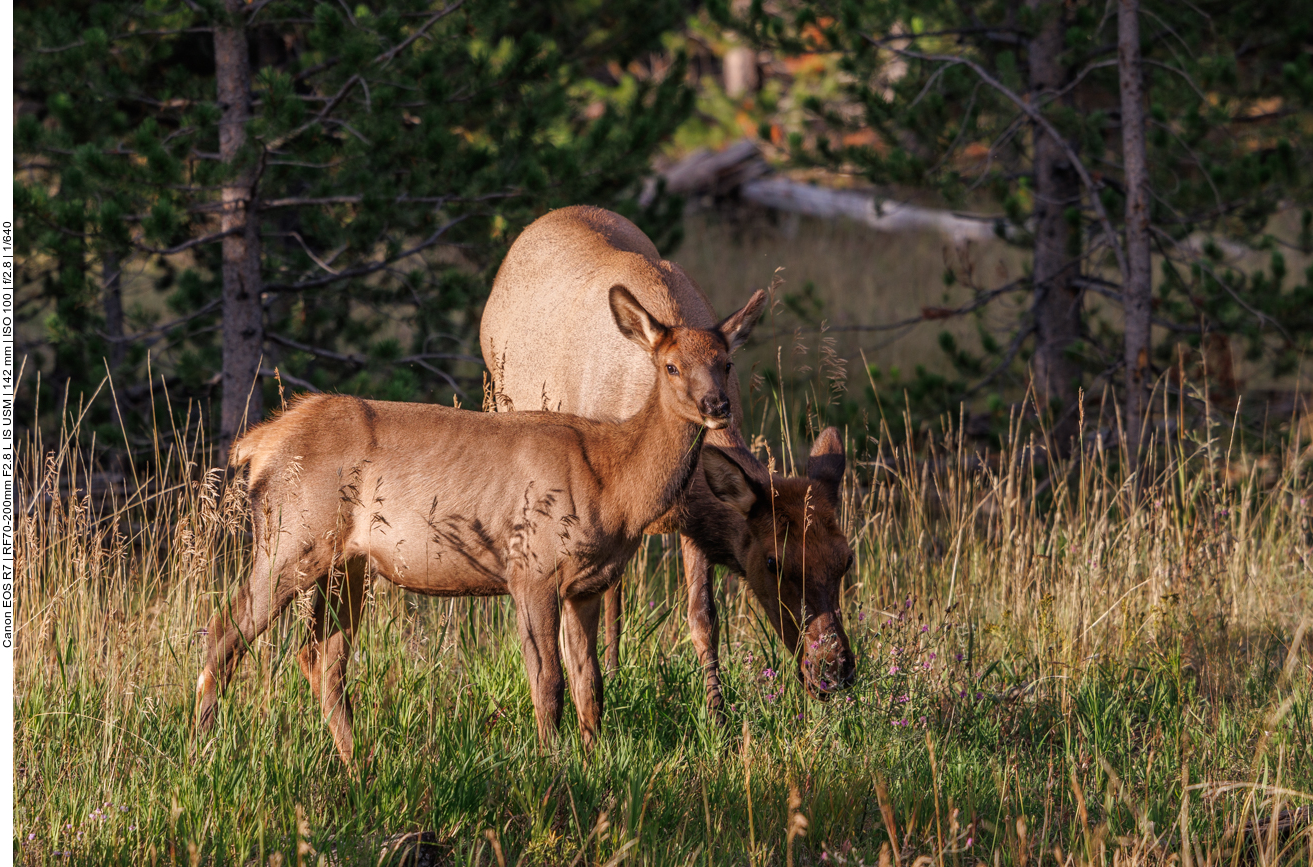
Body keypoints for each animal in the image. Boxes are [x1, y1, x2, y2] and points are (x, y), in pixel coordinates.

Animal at [485, 204, 861, 709]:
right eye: (773, 562)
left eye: (846, 559)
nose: (833, 671)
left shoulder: (688, 517)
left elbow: (703, 619)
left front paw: (717, 711)